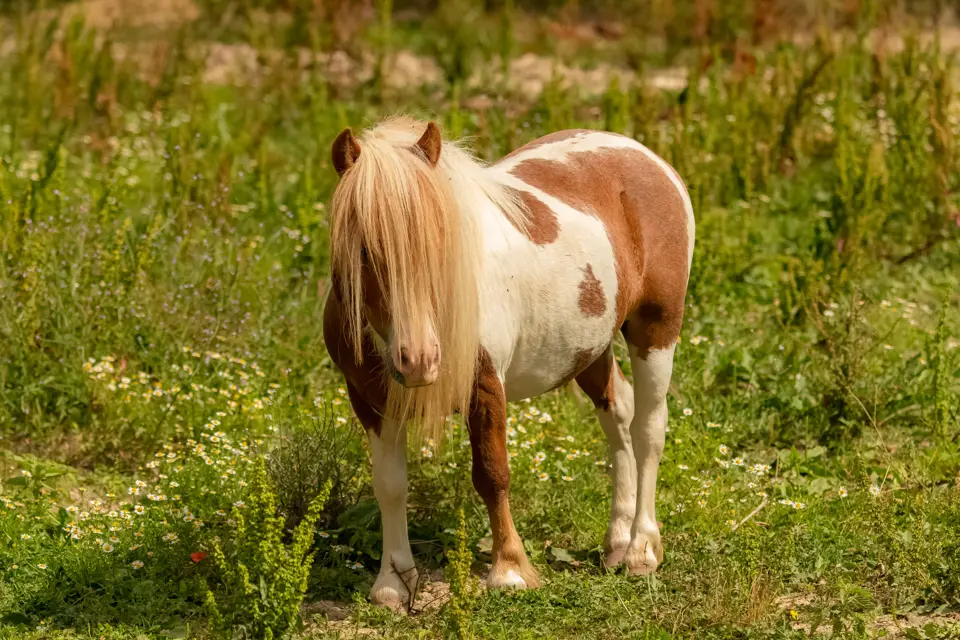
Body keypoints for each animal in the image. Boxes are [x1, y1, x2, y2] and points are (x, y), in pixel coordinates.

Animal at [323, 116, 694, 609]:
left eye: (442, 240)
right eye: (364, 248)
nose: (419, 360)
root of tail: (644, 156)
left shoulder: (484, 386)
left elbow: (492, 475)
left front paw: (511, 572)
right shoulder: (369, 400)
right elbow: (389, 484)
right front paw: (393, 583)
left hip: (656, 331)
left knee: (648, 429)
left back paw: (640, 551)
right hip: (590, 347)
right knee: (618, 414)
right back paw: (616, 542)